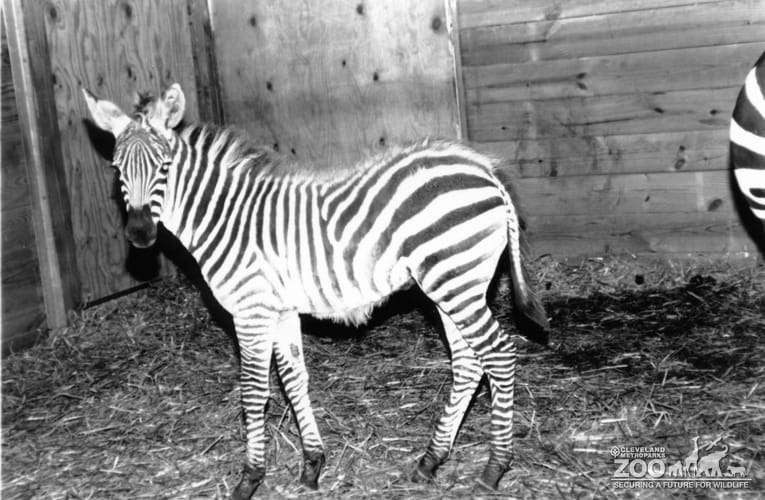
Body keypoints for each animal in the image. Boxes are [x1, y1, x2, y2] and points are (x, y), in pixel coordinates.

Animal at [83, 83, 550, 499]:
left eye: (164, 167)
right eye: (117, 170)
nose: (140, 235)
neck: (227, 217)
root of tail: (482, 167)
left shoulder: (251, 311)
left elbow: (254, 392)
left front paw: (250, 479)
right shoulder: (281, 310)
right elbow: (294, 381)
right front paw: (311, 466)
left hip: (455, 281)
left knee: (498, 354)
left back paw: (493, 469)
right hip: (452, 286)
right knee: (470, 363)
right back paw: (430, 462)